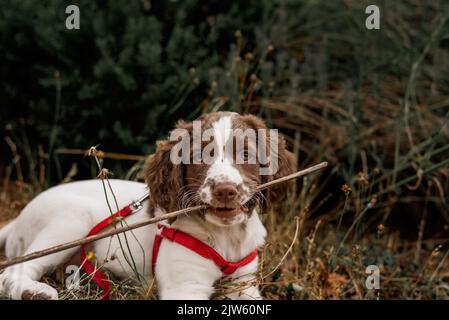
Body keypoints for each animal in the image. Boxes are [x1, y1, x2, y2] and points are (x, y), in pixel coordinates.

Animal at [0, 112, 296, 300]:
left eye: (246, 154)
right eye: (199, 156)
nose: (225, 190)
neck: (225, 236)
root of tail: (16, 220)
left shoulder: (245, 284)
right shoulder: (185, 286)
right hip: (71, 222)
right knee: (11, 271)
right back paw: (34, 292)